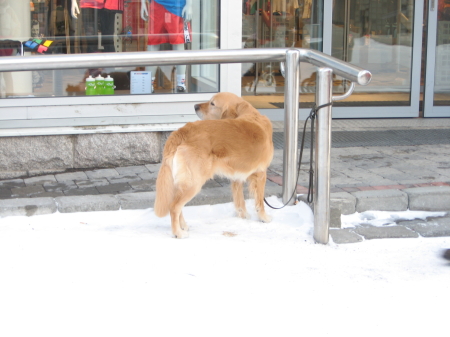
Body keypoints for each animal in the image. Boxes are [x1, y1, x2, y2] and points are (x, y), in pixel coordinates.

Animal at [155, 92, 274, 238]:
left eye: (212, 103)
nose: (195, 106)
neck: (249, 114)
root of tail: (181, 131)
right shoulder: (261, 174)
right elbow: (260, 201)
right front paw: (264, 218)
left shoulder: (237, 177)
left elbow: (240, 200)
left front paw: (243, 216)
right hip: (194, 182)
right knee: (174, 206)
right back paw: (178, 233)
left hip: (183, 181)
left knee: (177, 204)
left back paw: (183, 226)